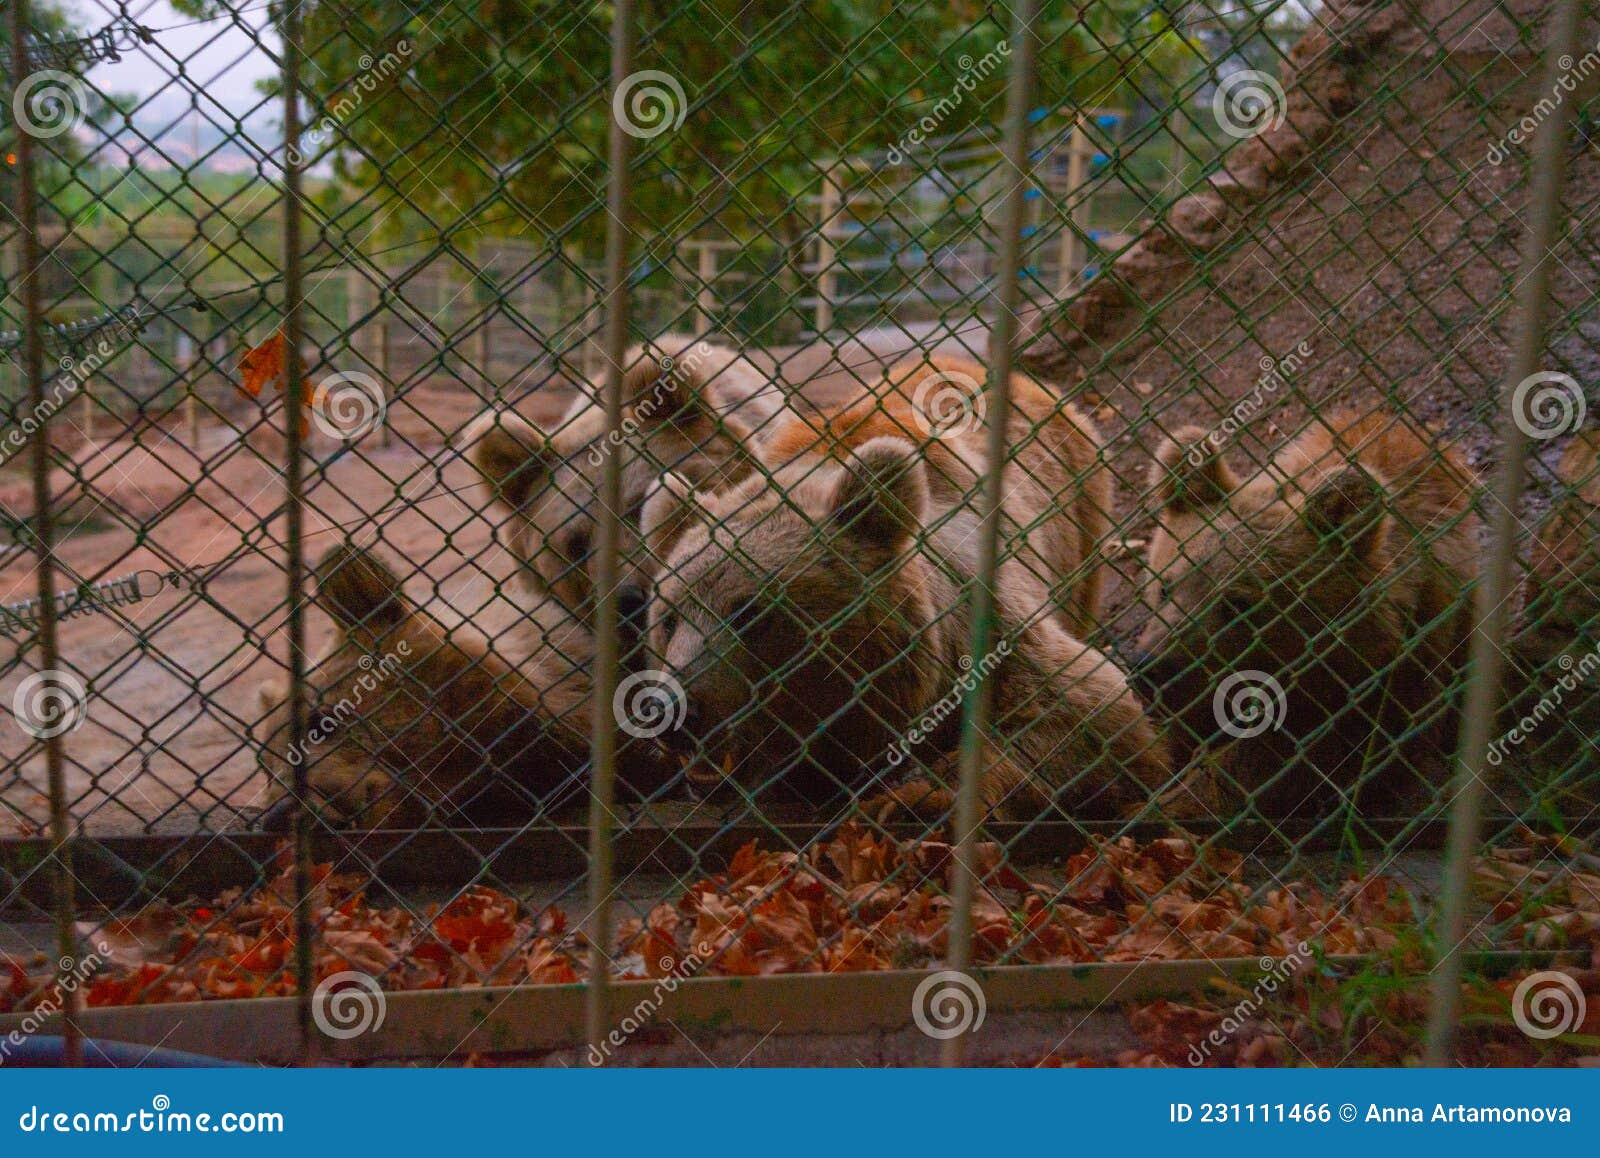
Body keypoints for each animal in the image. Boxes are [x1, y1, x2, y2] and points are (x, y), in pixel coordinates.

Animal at [640, 353, 1169, 818]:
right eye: (668, 619)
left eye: (749, 614)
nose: (672, 710)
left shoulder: (986, 619)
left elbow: (1088, 710)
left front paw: (913, 794)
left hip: (1080, 516)